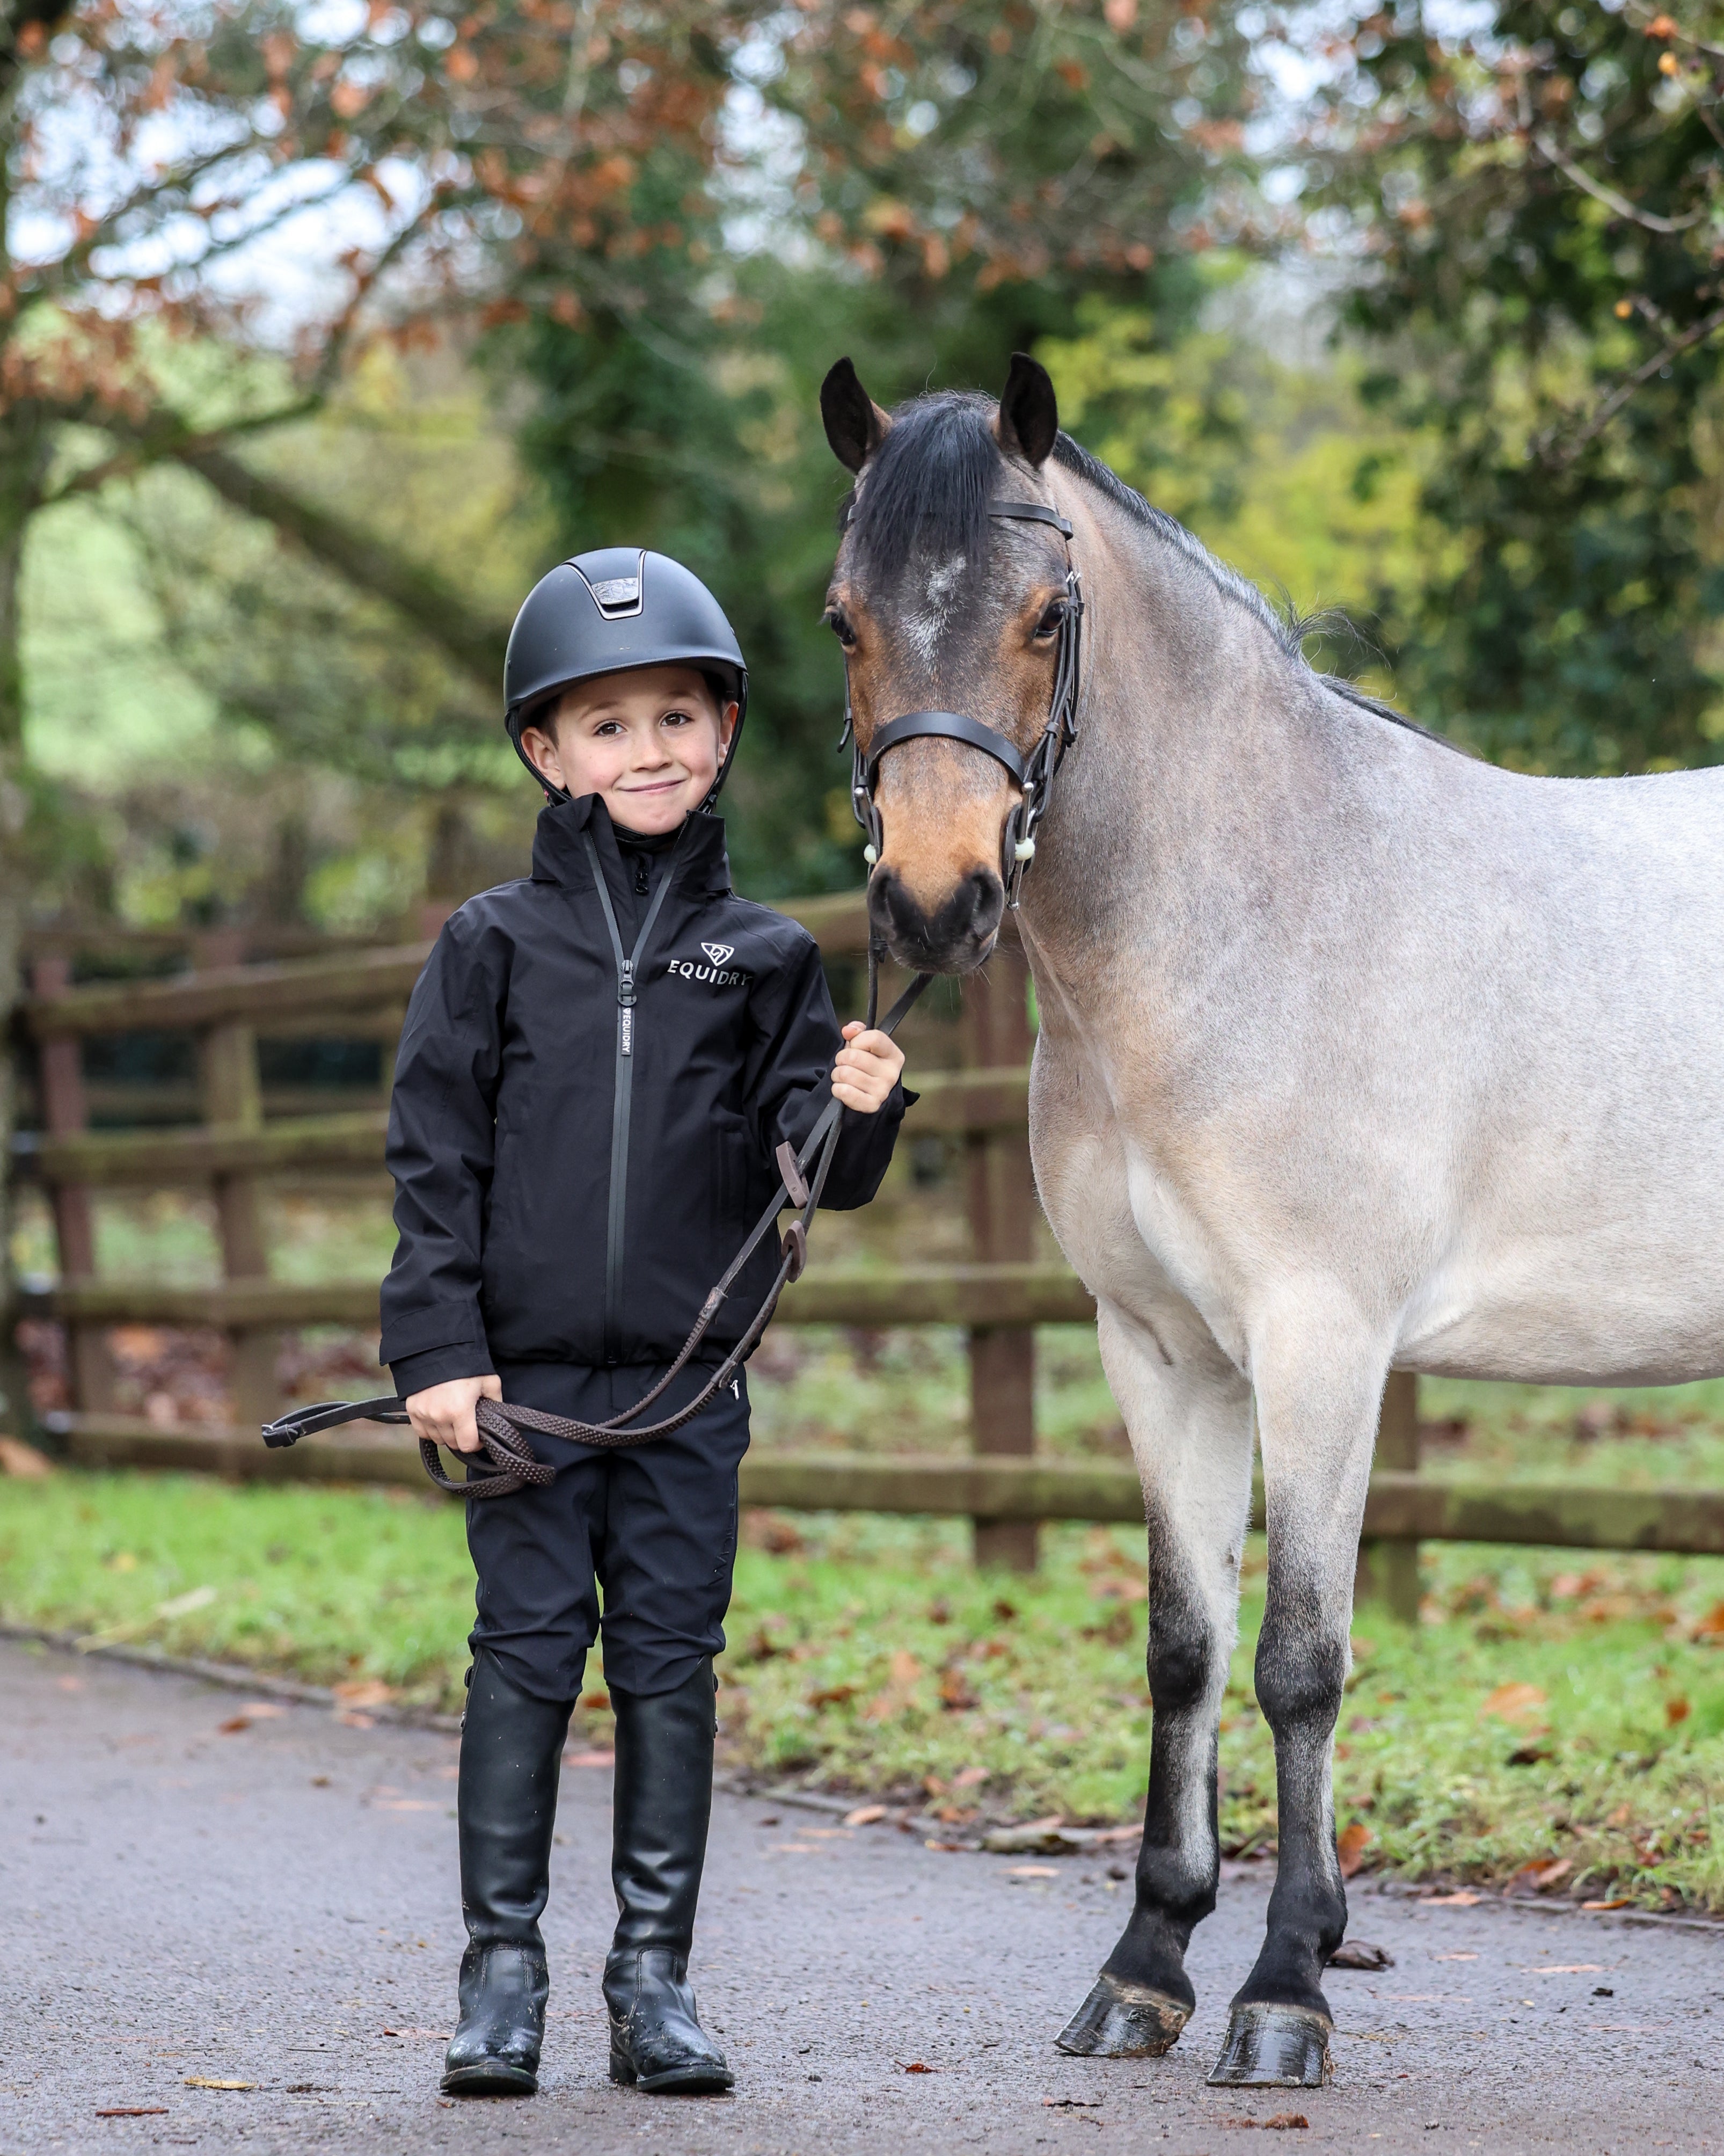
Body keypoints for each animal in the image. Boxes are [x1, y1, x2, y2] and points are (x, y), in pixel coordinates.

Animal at [817, 351, 1724, 2089]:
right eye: (842, 618)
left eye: (1045, 614)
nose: (934, 900)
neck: (1252, 904)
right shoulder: (1162, 1353)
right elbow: (1180, 1644)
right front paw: (1143, 1967)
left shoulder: (1320, 1342)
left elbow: (1297, 1659)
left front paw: (1285, 1986)